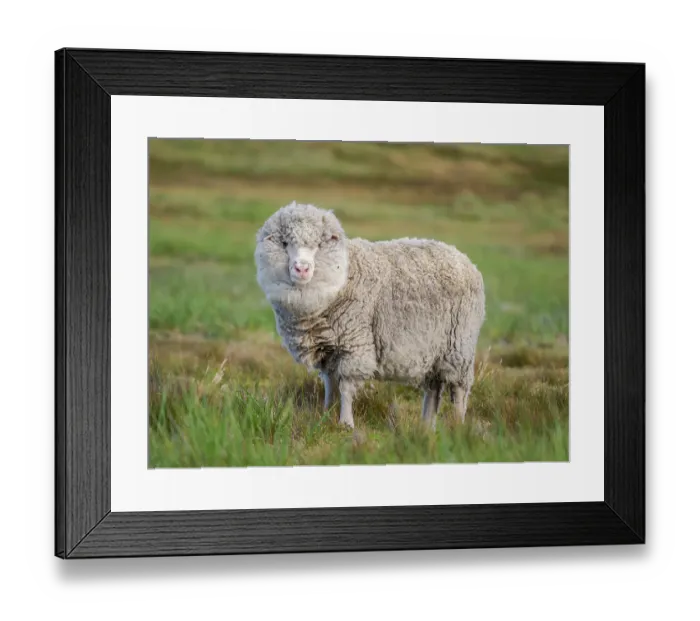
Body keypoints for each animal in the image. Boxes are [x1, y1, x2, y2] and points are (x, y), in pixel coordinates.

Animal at [254, 201, 486, 430]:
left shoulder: (354, 345)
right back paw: (426, 427)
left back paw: (457, 425)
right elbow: (330, 384)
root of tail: (465, 259)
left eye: (319, 245)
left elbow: (346, 387)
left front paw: (346, 423)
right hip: (434, 350)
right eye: (285, 243)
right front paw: (326, 413)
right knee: (434, 389)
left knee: (459, 389)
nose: (301, 268)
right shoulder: (328, 351)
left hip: (459, 346)